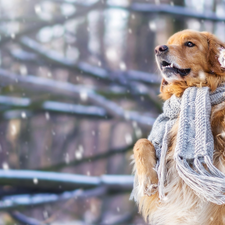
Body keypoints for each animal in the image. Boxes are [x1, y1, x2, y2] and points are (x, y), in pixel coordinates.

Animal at [133, 30, 225, 225]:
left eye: (189, 44)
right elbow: (141, 142)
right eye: (169, 42)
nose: (158, 49)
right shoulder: (169, 187)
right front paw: (148, 180)